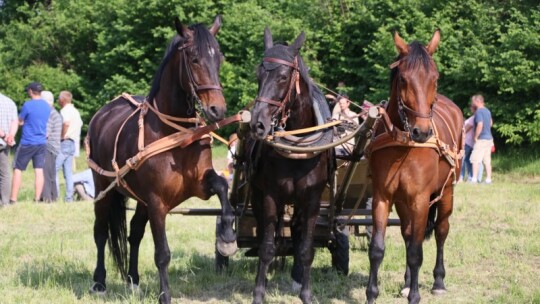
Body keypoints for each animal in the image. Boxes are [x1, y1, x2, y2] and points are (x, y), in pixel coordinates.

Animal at [87, 16, 236, 304]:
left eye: (219, 58)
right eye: (194, 59)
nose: (218, 109)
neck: (176, 134)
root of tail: (102, 113)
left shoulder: (199, 185)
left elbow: (223, 187)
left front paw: (226, 237)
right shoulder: (157, 202)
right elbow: (162, 254)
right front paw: (164, 295)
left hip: (140, 199)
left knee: (134, 234)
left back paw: (133, 280)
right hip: (104, 188)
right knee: (100, 232)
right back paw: (99, 282)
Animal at [249, 26, 334, 304]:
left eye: (284, 77)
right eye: (258, 74)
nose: (257, 123)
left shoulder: (312, 199)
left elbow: (306, 248)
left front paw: (306, 292)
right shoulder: (269, 195)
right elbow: (266, 246)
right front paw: (259, 292)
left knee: (296, 229)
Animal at [368, 30, 464, 304]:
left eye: (435, 78)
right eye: (403, 79)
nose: (421, 131)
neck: (403, 144)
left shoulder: (421, 199)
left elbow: (416, 252)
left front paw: (415, 295)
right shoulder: (382, 197)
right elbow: (377, 248)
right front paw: (372, 294)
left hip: (446, 192)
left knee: (441, 231)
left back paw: (438, 281)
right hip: (403, 203)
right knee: (408, 233)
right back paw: (407, 282)